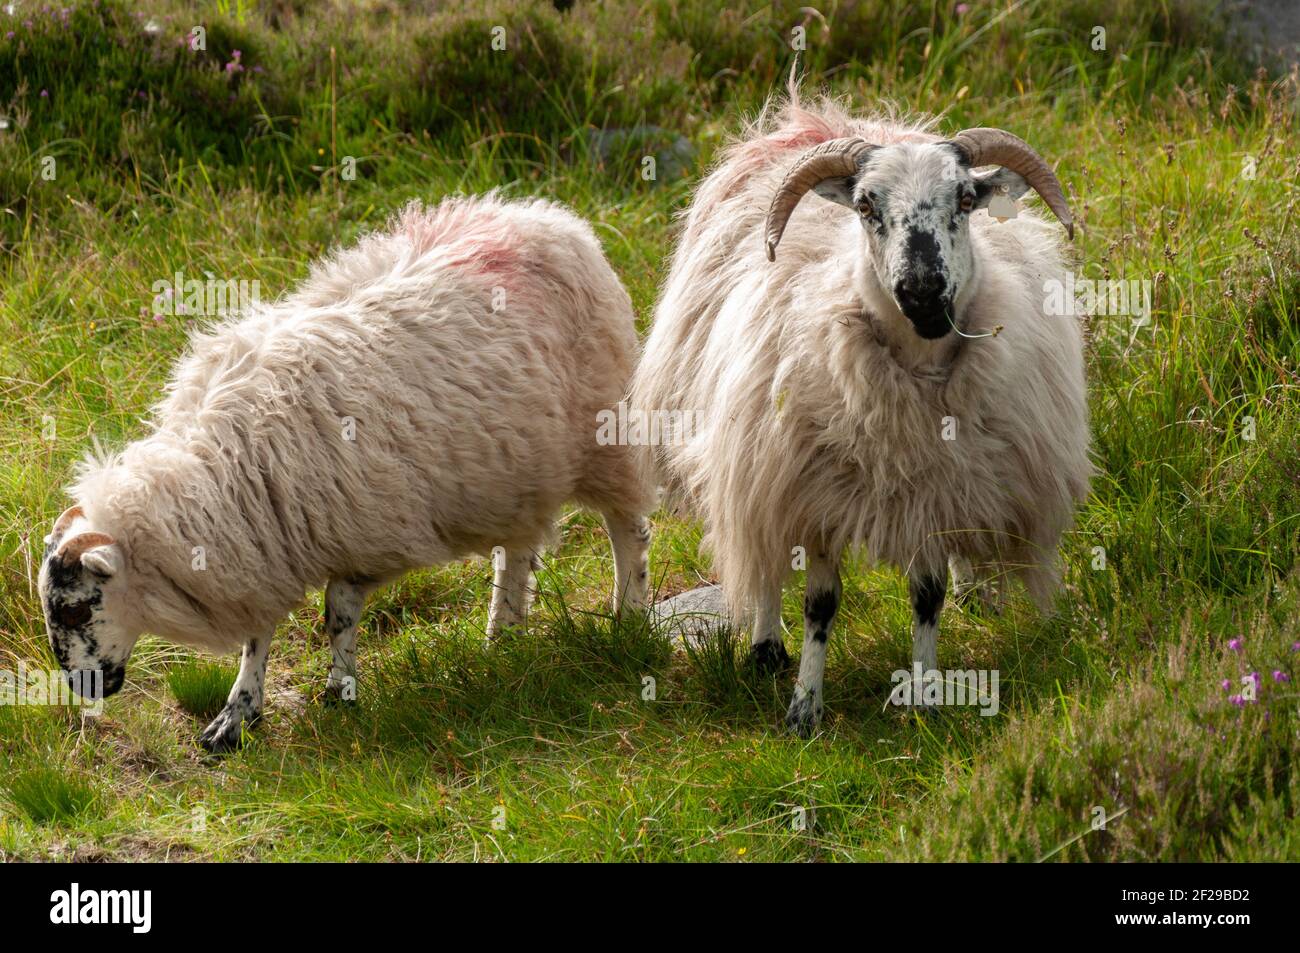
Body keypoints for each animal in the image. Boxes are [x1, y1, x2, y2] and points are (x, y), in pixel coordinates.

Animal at [39, 193, 650, 748]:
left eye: (76, 609)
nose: (83, 691)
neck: (214, 478)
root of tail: (549, 218)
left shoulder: (367, 537)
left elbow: (337, 613)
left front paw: (340, 692)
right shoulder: (262, 547)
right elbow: (257, 637)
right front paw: (238, 715)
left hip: (602, 433)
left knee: (629, 528)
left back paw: (631, 619)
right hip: (514, 467)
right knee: (518, 550)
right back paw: (504, 633)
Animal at [634, 89, 1092, 733]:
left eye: (966, 199)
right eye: (866, 205)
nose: (922, 293)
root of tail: (812, 118)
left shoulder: (936, 490)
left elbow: (927, 597)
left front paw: (925, 696)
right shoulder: (816, 492)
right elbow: (819, 604)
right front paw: (804, 708)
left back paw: (975, 590)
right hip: (755, 454)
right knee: (763, 552)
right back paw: (766, 648)